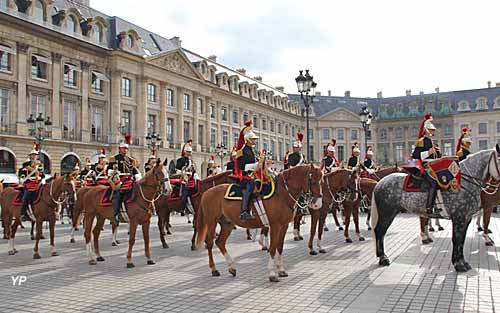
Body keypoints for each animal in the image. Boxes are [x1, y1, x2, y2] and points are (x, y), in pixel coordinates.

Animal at [193, 163, 322, 280]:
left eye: (321, 181)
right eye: (314, 182)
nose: (318, 203)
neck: (282, 193)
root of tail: (207, 192)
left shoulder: (284, 226)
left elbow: (280, 247)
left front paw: (281, 270)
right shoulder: (275, 226)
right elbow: (273, 247)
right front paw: (272, 274)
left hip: (227, 223)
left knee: (220, 242)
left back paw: (232, 267)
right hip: (211, 222)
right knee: (210, 242)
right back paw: (214, 269)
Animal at [372, 146, 500, 270]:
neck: (463, 183)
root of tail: (380, 182)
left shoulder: (466, 218)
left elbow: (462, 240)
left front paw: (463, 262)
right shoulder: (459, 218)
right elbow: (457, 239)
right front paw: (458, 264)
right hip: (387, 213)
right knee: (380, 231)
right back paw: (383, 258)